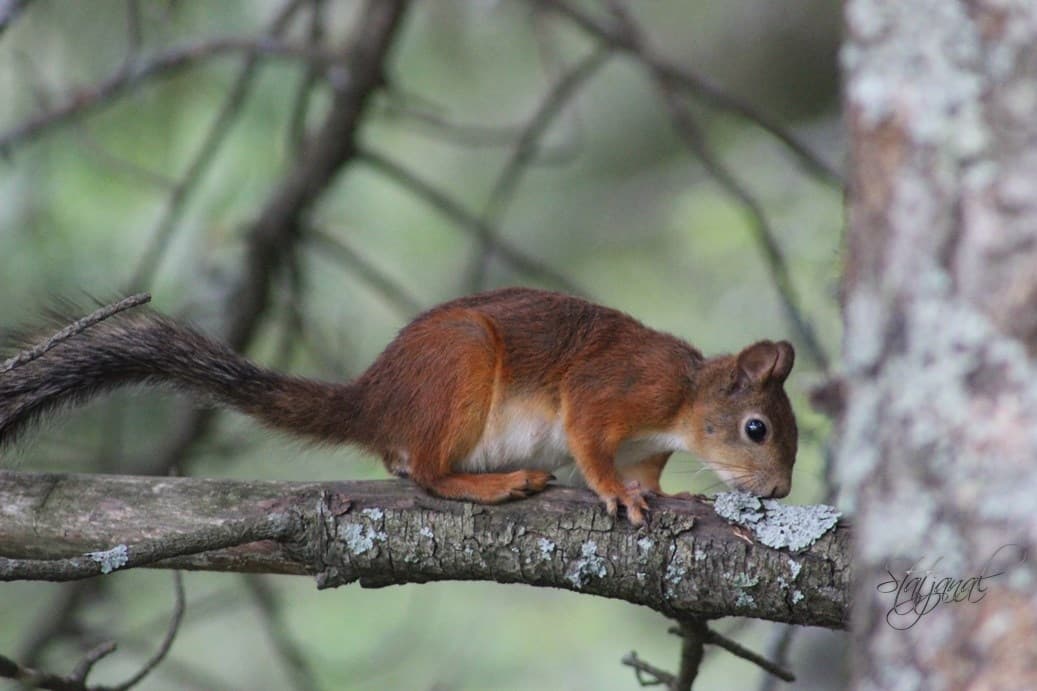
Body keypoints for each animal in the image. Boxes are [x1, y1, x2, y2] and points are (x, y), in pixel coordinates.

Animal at [0, 284, 796, 522]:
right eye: (757, 428)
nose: (783, 490)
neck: (682, 401)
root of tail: (375, 399)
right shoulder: (613, 392)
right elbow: (593, 445)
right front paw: (617, 493)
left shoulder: (649, 443)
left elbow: (647, 470)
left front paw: (659, 490)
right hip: (459, 370)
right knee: (429, 472)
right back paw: (497, 482)